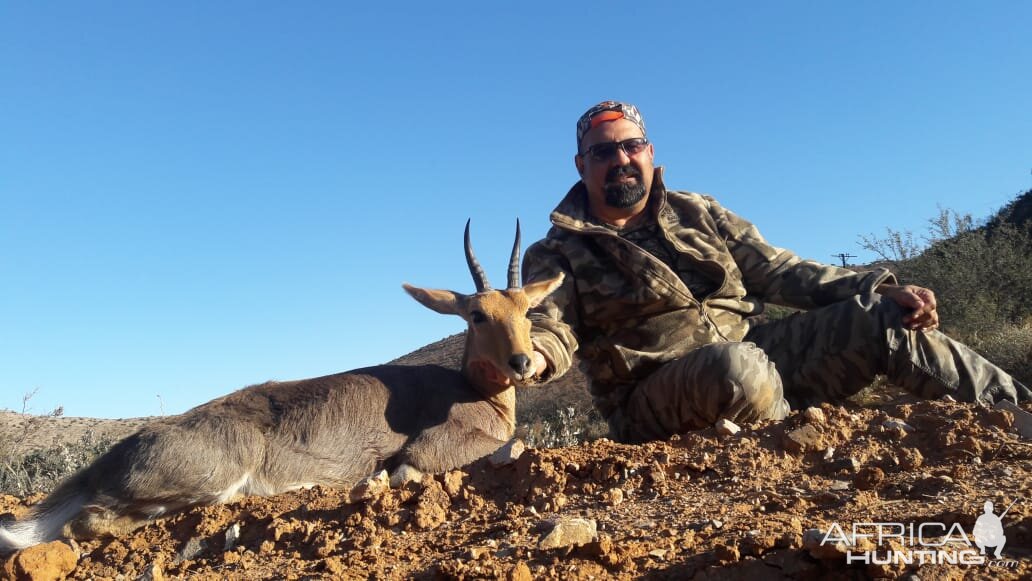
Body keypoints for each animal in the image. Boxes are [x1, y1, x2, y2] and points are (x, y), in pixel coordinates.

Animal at [2, 221, 565, 553]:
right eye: (476, 314)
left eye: (526, 310)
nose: (521, 361)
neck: (477, 395)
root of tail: (106, 461)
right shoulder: (429, 449)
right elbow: (412, 467)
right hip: (207, 482)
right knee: (85, 524)